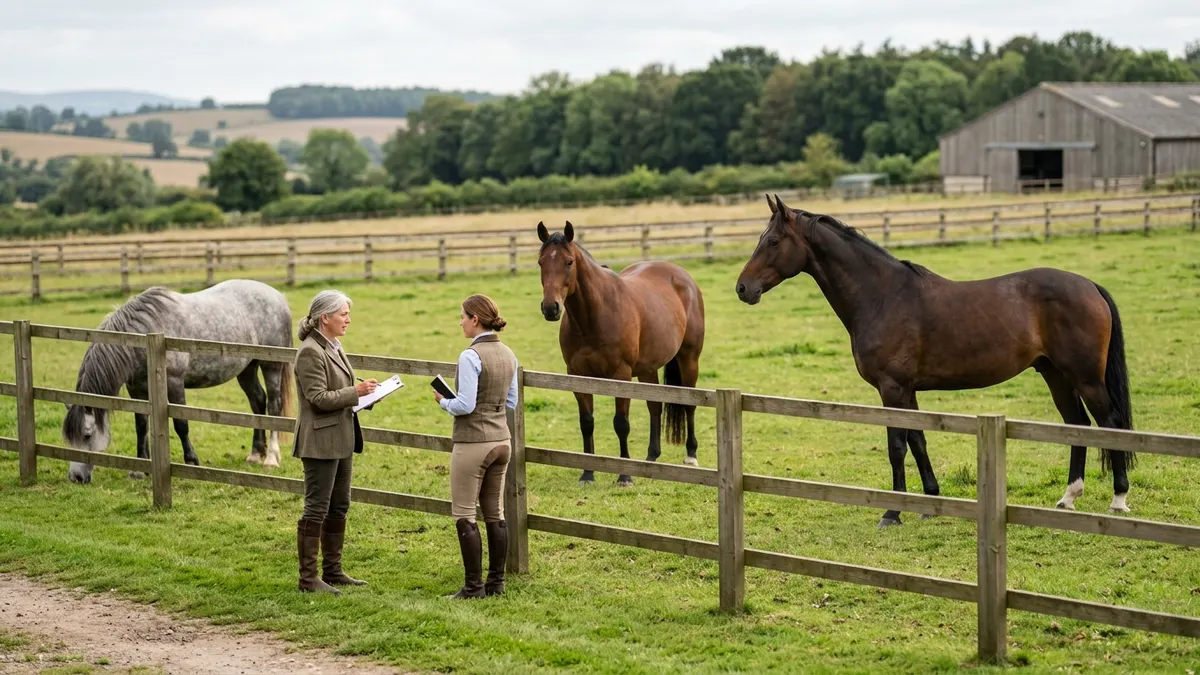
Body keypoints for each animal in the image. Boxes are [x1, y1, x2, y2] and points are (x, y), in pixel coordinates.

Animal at [62, 279, 295, 483]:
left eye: (87, 435)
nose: (76, 477)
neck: (145, 333)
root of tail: (278, 296)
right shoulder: (136, 390)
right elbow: (141, 425)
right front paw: (140, 470)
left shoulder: (174, 384)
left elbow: (181, 424)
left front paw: (191, 461)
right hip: (247, 369)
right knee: (258, 402)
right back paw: (256, 454)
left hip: (271, 366)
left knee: (274, 406)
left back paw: (271, 459)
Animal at [537, 221, 706, 486]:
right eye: (541, 262)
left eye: (569, 262)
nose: (550, 308)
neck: (594, 316)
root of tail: (682, 276)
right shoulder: (577, 376)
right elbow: (587, 423)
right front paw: (587, 473)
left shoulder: (621, 376)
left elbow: (621, 424)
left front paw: (624, 476)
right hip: (648, 370)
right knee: (654, 407)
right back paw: (650, 458)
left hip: (689, 359)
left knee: (689, 405)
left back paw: (690, 455)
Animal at [735, 195, 1134, 527]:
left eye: (773, 241)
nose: (742, 288)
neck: (883, 296)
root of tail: (1090, 286)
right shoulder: (907, 390)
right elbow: (918, 440)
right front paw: (929, 502)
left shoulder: (892, 388)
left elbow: (897, 446)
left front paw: (893, 513)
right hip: (1056, 375)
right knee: (1077, 425)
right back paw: (1069, 497)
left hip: (1085, 377)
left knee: (1110, 423)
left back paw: (1118, 498)